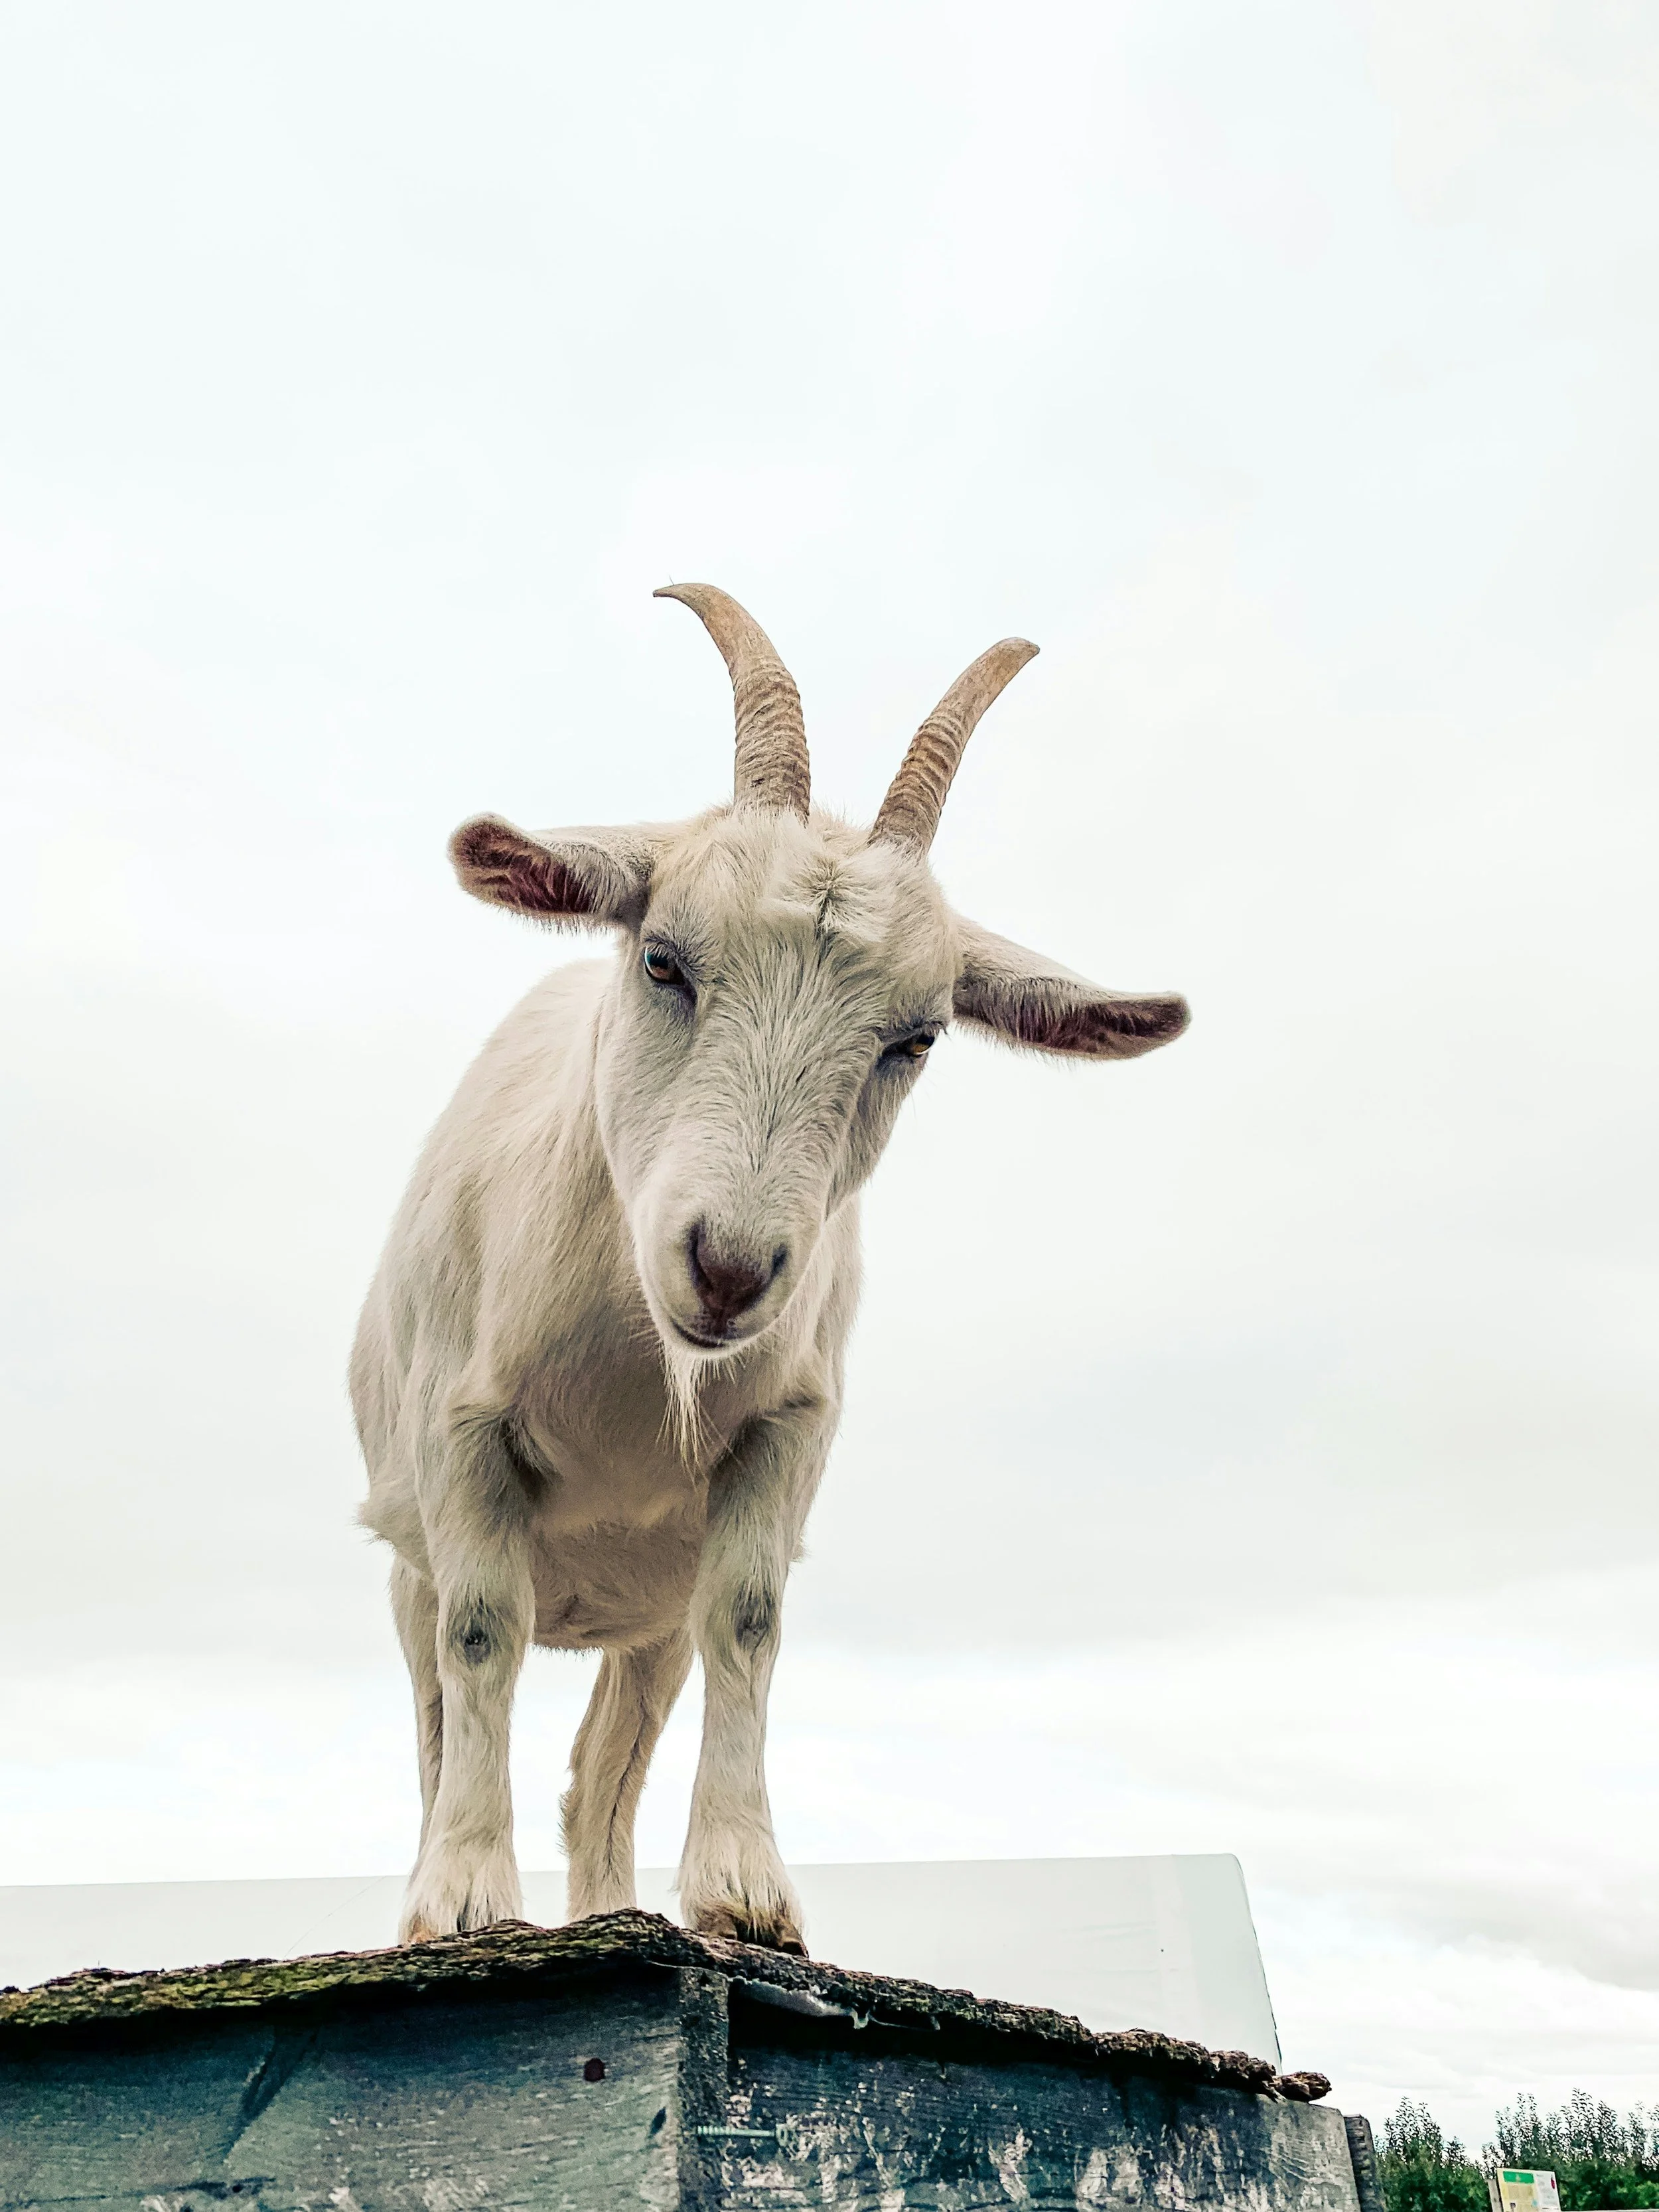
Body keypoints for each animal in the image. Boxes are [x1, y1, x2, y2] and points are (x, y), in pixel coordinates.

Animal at [352, 585, 1189, 1950]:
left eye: (916, 1037)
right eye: (662, 959)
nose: (732, 1267)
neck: (639, 1357)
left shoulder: (784, 1435)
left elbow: (749, 1623)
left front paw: (745, 1893)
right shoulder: (459, 1431)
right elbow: (482, 1635)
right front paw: (467, 1900)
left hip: (644, 1613)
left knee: (604, 1766)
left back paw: (609, 1905)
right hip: (406, 1554)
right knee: (441, 1705)